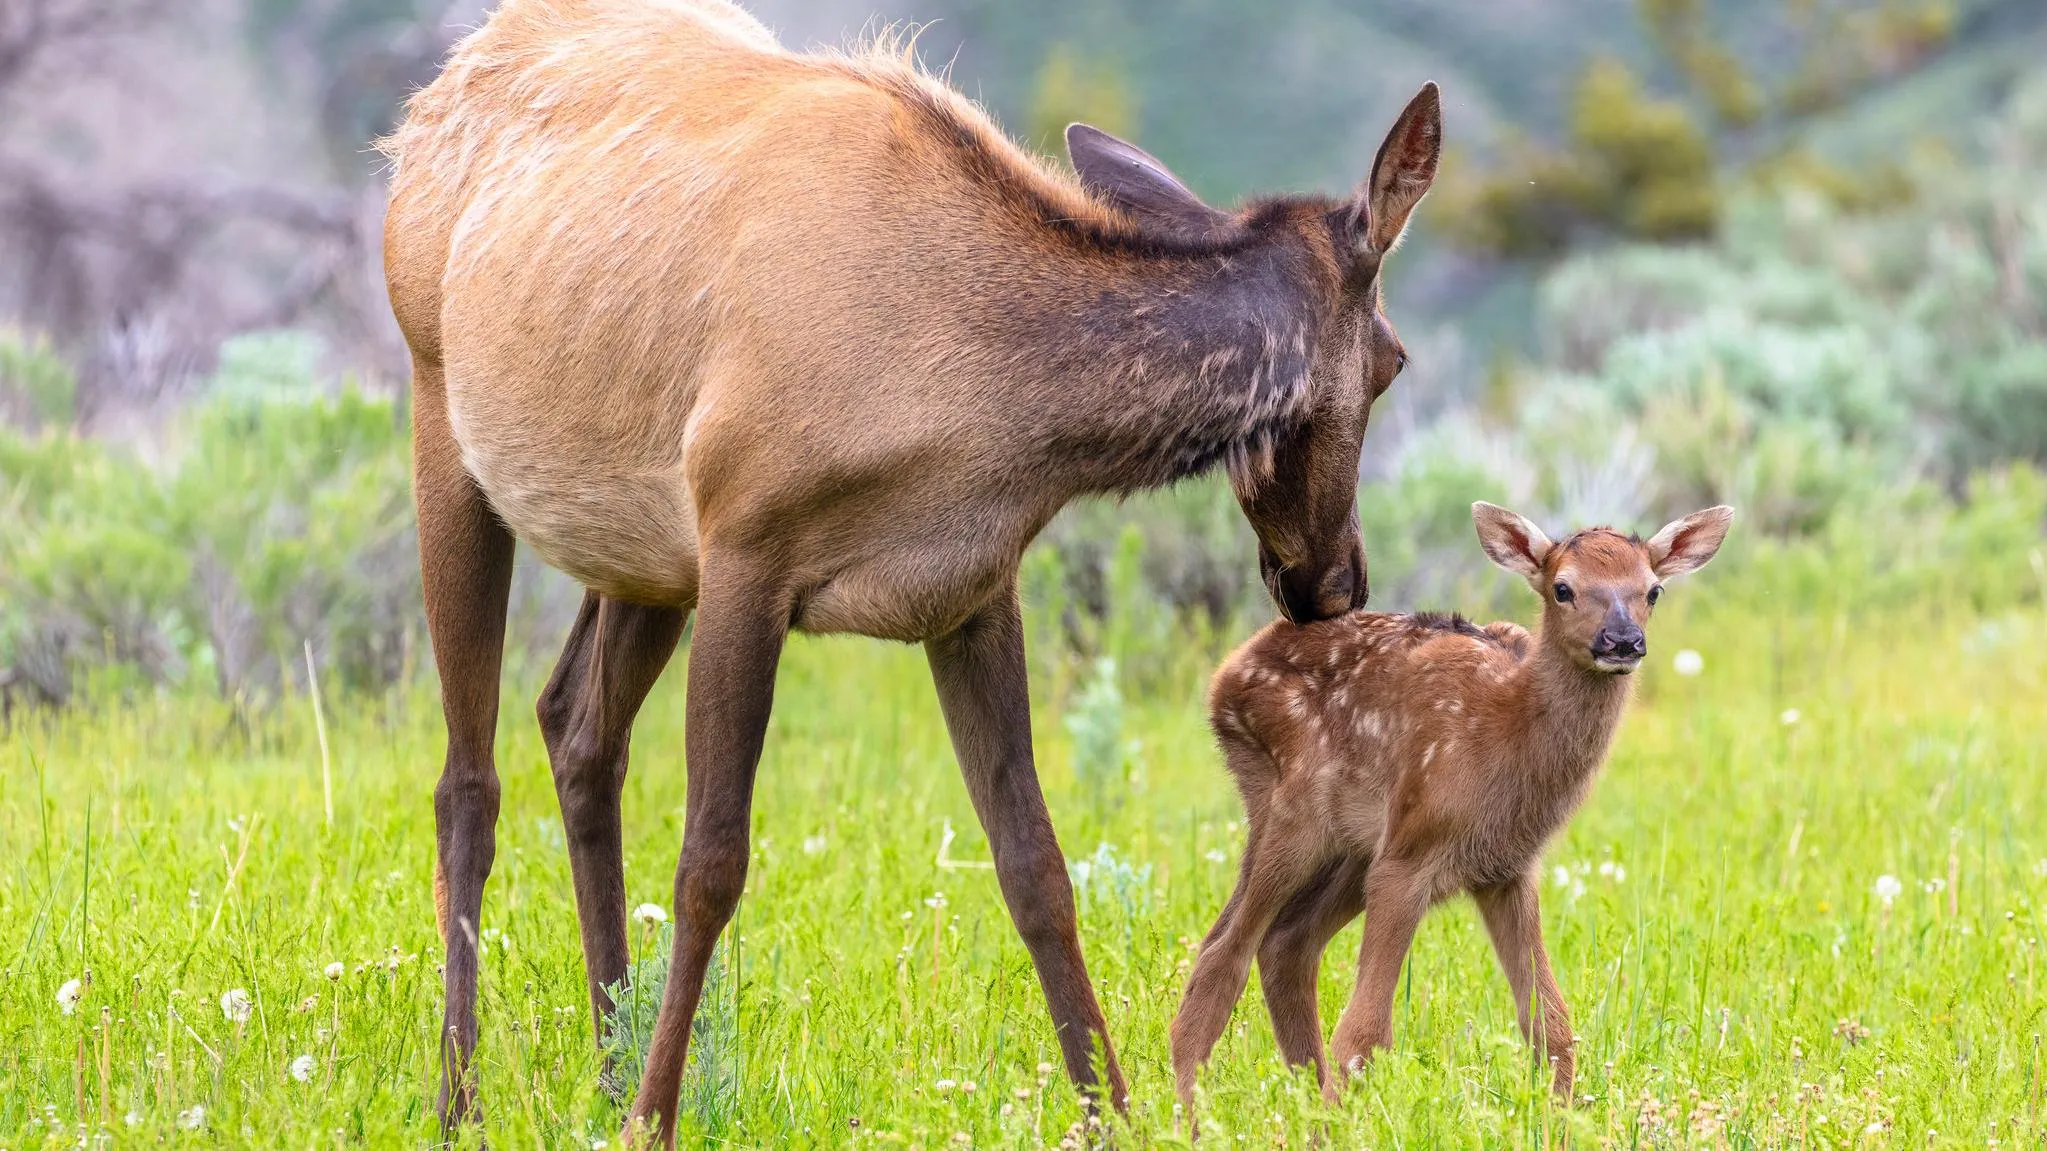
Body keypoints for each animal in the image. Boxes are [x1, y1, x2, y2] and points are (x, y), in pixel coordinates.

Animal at [377, 0, 1442, 1142]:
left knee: (577, 726)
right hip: (445, 412)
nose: (1334, 581)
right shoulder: (745, 542)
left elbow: (1036, 864)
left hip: (648, 548)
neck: (983, 400)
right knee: (467, 780)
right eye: (1393, 361)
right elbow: (711, 861)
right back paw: (462, 1095)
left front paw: (1110, 1108)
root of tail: (432, 98)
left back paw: (609, 1069)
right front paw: (656, 1120)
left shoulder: (970, 590)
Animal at [1170, 500, 1734, 1113]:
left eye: (1653, 589)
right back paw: (1189, 1115)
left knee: (1284, 945)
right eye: (1562, 588)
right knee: (1222, 954)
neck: (1506, 737)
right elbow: (1364, 1032)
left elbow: (1551, 1024)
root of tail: (1224, 678)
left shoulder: (1507, 869)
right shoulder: (1408, 856)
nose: (1622, 640)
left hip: (1352, 847)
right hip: (1296, 811)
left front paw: (1560, 1120)